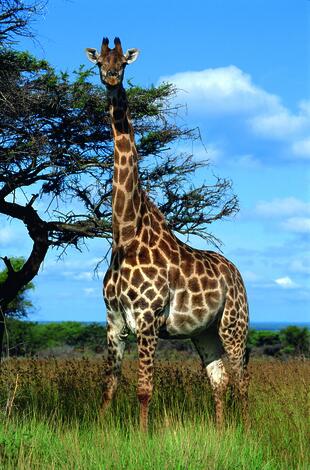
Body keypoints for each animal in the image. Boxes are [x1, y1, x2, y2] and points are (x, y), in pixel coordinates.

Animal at [85, 38, 249, 432]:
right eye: (100, 61)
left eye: (123, 62)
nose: (110, 77)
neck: (126, 236)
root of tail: (236, 272)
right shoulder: (113, 321)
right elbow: (109, 384)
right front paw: (99, 432)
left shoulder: (147, 320)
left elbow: (144, 389)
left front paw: (143, 438)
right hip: (204, 332)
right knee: (219, 378)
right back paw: (220, 433)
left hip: (234, 324)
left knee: (241, 380)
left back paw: (247, 430)